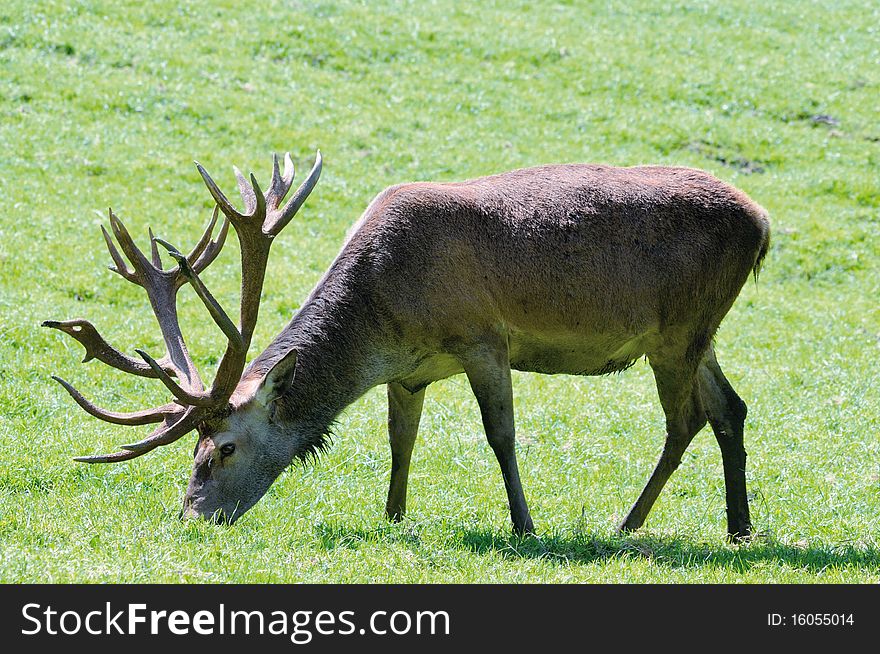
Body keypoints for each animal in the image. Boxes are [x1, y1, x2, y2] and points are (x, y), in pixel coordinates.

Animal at [44, 149, 768, 544]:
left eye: (222, 448)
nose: (193, 518)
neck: (384, 318)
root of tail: (762, 223)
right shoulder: (410, 372)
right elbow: (401, 441)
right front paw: (392, 516)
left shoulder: (483, 338)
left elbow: (500, 435)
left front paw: (524, 525)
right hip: (698, 334)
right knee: (729, 409)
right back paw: (737, 526)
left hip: (678, 330)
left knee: (685, 420)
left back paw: (629, 523)